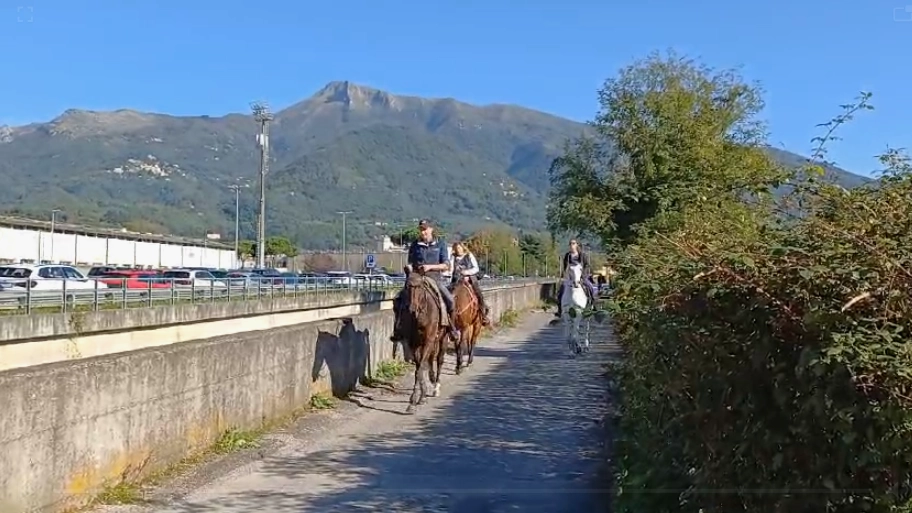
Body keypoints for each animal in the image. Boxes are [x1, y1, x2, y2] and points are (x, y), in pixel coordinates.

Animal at [400, 272, 448, 412]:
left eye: (420, 287)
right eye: (407, 287)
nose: (412, 309)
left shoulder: (428, 341)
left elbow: (420, 367)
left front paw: (415, 399)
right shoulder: (414, 344)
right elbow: (419, 368)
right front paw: (420, 397)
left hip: (442, 339)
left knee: (439, 360)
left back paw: (436, 387)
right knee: (430, 360)